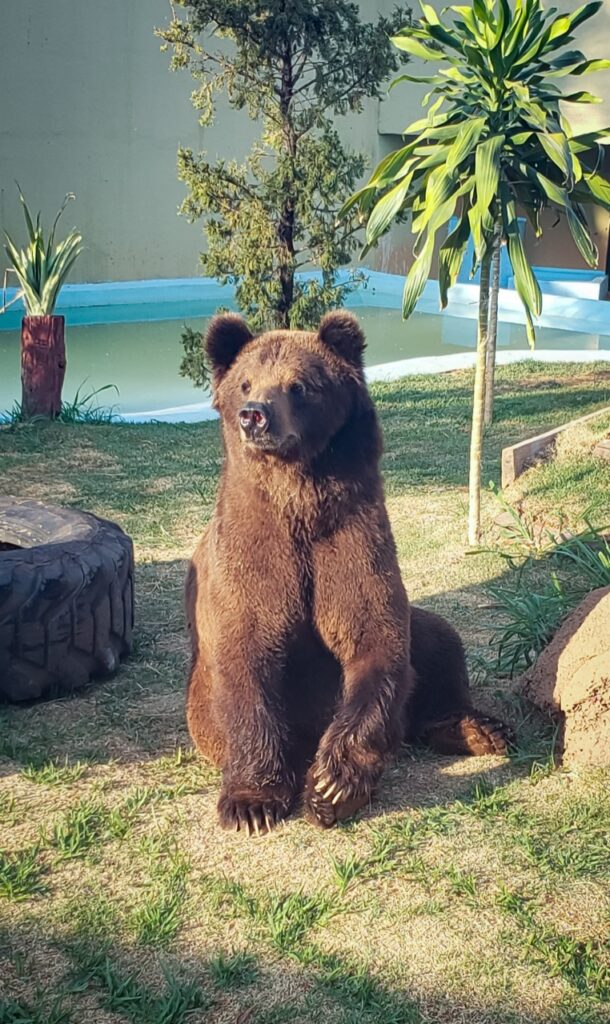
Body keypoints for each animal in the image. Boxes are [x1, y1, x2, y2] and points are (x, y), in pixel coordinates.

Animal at [186, 309, 509, 831]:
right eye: (245, 382)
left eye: (299, 385)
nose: (255, 414)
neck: (298, 501)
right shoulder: (253, 555)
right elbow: (246, 655)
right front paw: (252, 803)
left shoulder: (351, 540)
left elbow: (375, 641)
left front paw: (332, 787)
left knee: (438, 639)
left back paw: (479, 729)